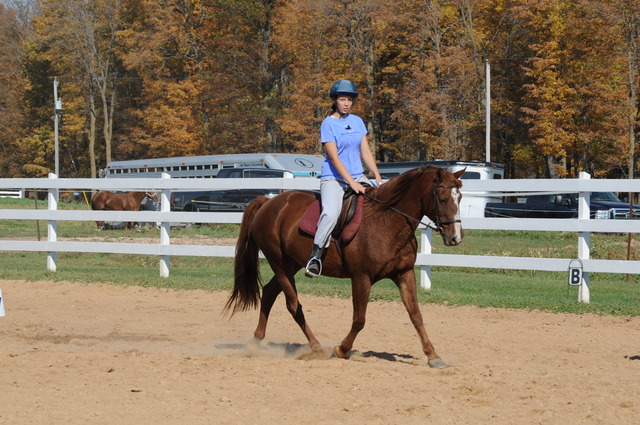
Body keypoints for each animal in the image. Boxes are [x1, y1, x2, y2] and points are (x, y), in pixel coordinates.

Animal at [225, 166, 464, 368]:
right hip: (279, 264)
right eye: (443, 199)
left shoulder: (404, 274)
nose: (456, 238)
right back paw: (317, 347)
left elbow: (416, 315)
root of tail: (268, 203)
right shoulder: (361, 278)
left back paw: (256, 342)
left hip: (291, 264)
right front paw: (341, 349)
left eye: (460, 197)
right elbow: (359, 320)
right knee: (293, 305)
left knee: (269, 293)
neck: (387, 220)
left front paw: (433, 356)